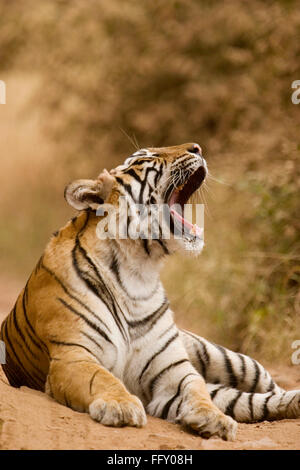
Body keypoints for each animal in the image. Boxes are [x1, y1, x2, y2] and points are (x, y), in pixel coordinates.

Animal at [0, 143, 300, 440]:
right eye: (146, 157)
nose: (197, 148)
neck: (136, 273)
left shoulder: (173, 369)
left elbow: (196, 388)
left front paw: (213, 418)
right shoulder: (73, 355)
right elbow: (102, 378)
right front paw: (120, 406)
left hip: (235, 360)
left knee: (264, 389)